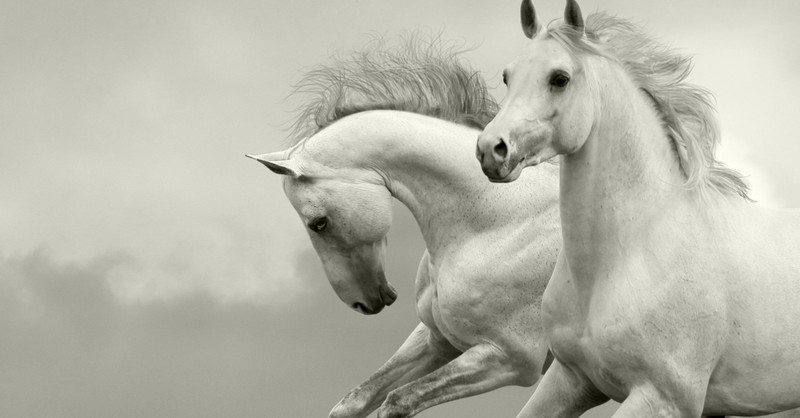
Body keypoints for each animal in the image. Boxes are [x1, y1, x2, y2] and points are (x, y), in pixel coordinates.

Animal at [250, 41, 564, 418]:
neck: (502, 224)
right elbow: (353, 402)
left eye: (319, 223)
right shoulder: (438, 341)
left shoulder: (509, 359)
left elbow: (397, 401)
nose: (361, 303)